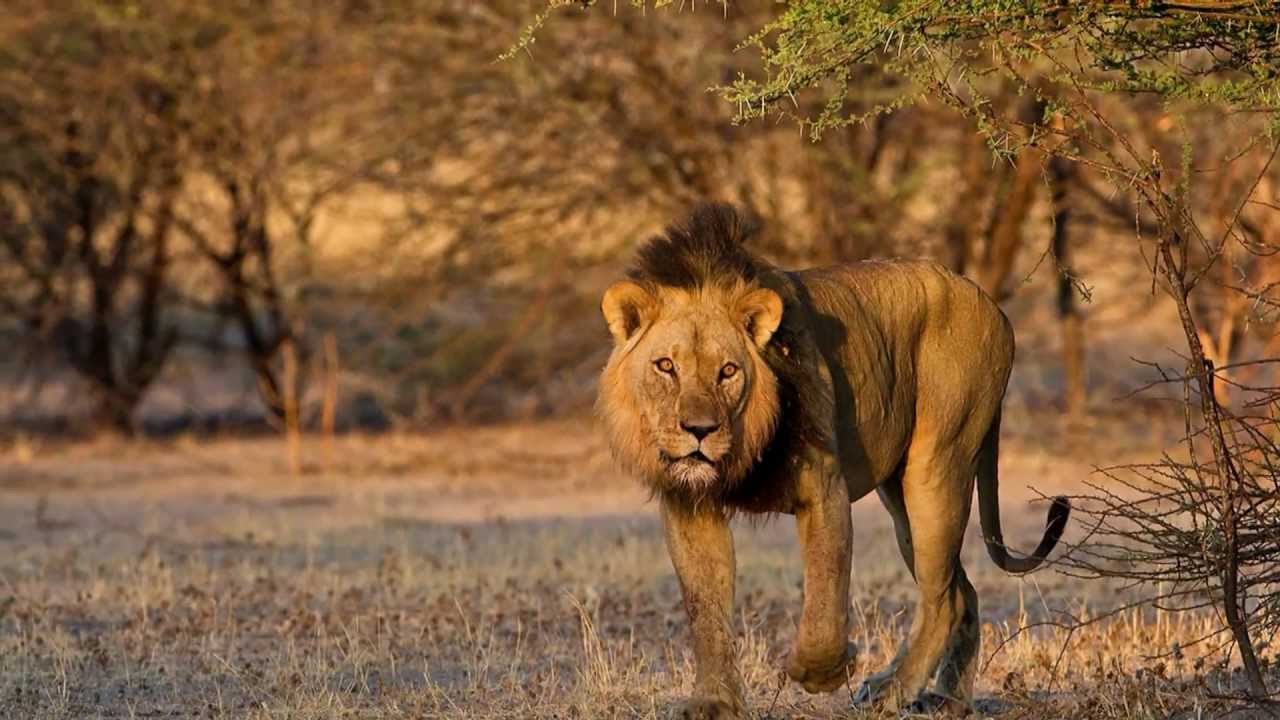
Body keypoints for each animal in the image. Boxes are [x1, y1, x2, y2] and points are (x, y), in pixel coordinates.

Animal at [599, 203, 1070, 717]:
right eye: (665, 366)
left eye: (728, 371)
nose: (699, 430)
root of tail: (992, 304)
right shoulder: (690, 505)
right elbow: (704, 610)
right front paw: (712, 702)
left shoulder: (823, 489)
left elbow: (826, 595)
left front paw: (821, 672)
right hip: (900, 498)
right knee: (958, 590)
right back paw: (946, 696)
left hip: (938, 467)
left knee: (941, 599)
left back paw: (892, 692)